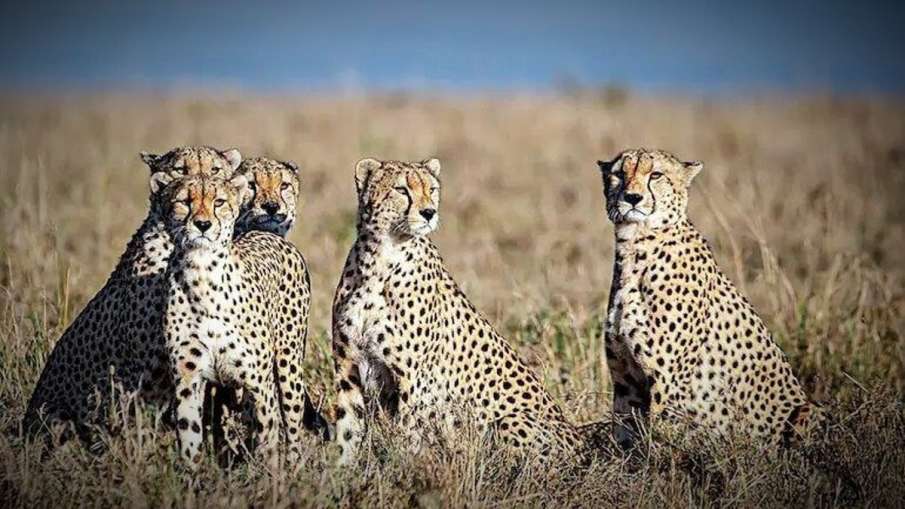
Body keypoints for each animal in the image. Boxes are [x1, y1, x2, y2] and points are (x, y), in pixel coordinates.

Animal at [159, 172, 316, 468]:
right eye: (184, 202)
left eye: (219, 202)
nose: (203, 224)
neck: (202, 274)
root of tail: (265, 233)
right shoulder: (187, 380)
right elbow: (189, 439)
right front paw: (191, 478)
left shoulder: (259, 383)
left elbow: (268, 441)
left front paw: (271, 478)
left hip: (288, 366)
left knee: (291, 424)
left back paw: (294, 466)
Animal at [331, 157, 609, 466]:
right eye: (402, 189)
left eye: (431, 189)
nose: (429, 212)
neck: (379, 258)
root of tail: (579, 438)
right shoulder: (348, 370)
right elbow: (346, 432)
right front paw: (339, 474)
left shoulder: (412, 380)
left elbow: (406, 438)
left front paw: (403, 472)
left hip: (509, 422)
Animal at [596, 148, 821, 450]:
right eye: (620, 174)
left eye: (656, 175)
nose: (632, 197)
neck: (635, 245)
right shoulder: (626, 381)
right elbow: (624, 435)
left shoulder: (669, 385)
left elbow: (659, 443)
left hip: (808, 410)